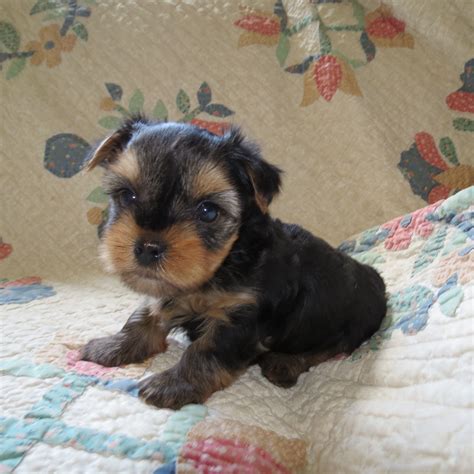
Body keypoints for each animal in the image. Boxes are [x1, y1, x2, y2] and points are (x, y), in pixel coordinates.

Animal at [80, 116, 386, 410]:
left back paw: (284, 363)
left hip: (353, 322)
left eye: (208, 211)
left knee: (330, 348)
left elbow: (206, 351)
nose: (148, 248)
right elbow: (144, 314)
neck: (226, 261)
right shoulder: (170, 287)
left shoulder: (242, 316)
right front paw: (114, 345)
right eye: (126, 195)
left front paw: (173, 384)